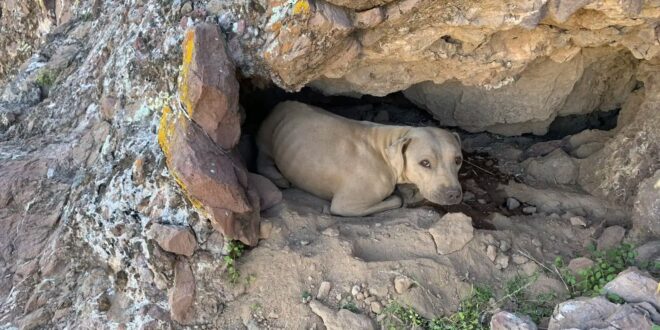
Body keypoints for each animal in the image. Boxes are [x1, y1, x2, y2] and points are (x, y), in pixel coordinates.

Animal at [255, 100, 462, 217]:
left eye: (458, 160)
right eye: (425, 163)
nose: (453, 194)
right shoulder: (346, 205)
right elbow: (396, 200)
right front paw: (398, 196)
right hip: (268, 135)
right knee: (263, 158)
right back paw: (278, 177)